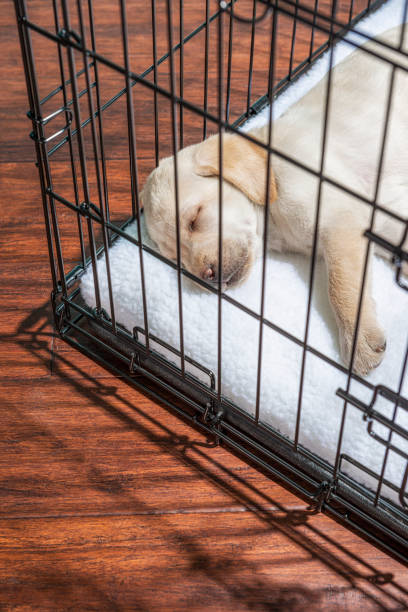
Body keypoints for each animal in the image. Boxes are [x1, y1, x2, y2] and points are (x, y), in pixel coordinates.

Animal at [142, 23, 406, 376]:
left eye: (194, 218)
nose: (206, 278)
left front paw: (358, 340)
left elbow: (341, 285)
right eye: (175, 258)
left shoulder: (338, 219)